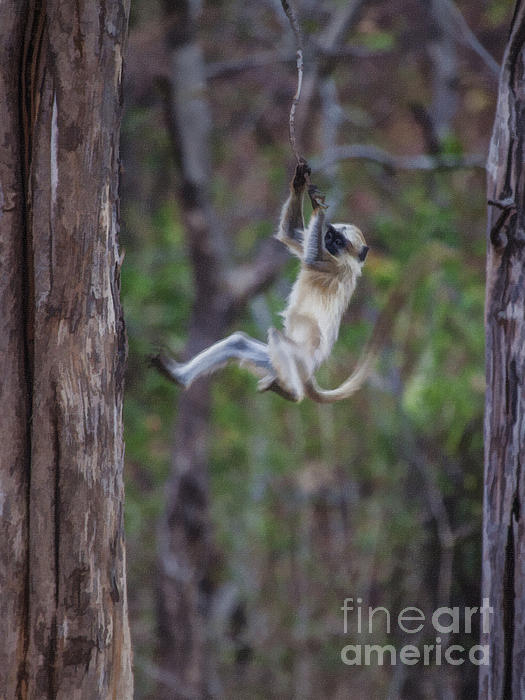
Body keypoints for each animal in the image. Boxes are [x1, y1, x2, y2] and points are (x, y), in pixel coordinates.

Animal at [154, 157, 374, 400]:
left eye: (339, 241)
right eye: (331, 236)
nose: (328, 241)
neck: (344, 259)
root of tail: (309, 375)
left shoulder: (338, 267)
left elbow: (311, 258)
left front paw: (318, 208)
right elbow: (290, 233)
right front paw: (300, 182)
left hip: (298, 360)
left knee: (276, 337)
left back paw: (292, 393)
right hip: (277, 363)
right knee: (238, 343)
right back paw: (178, 376)